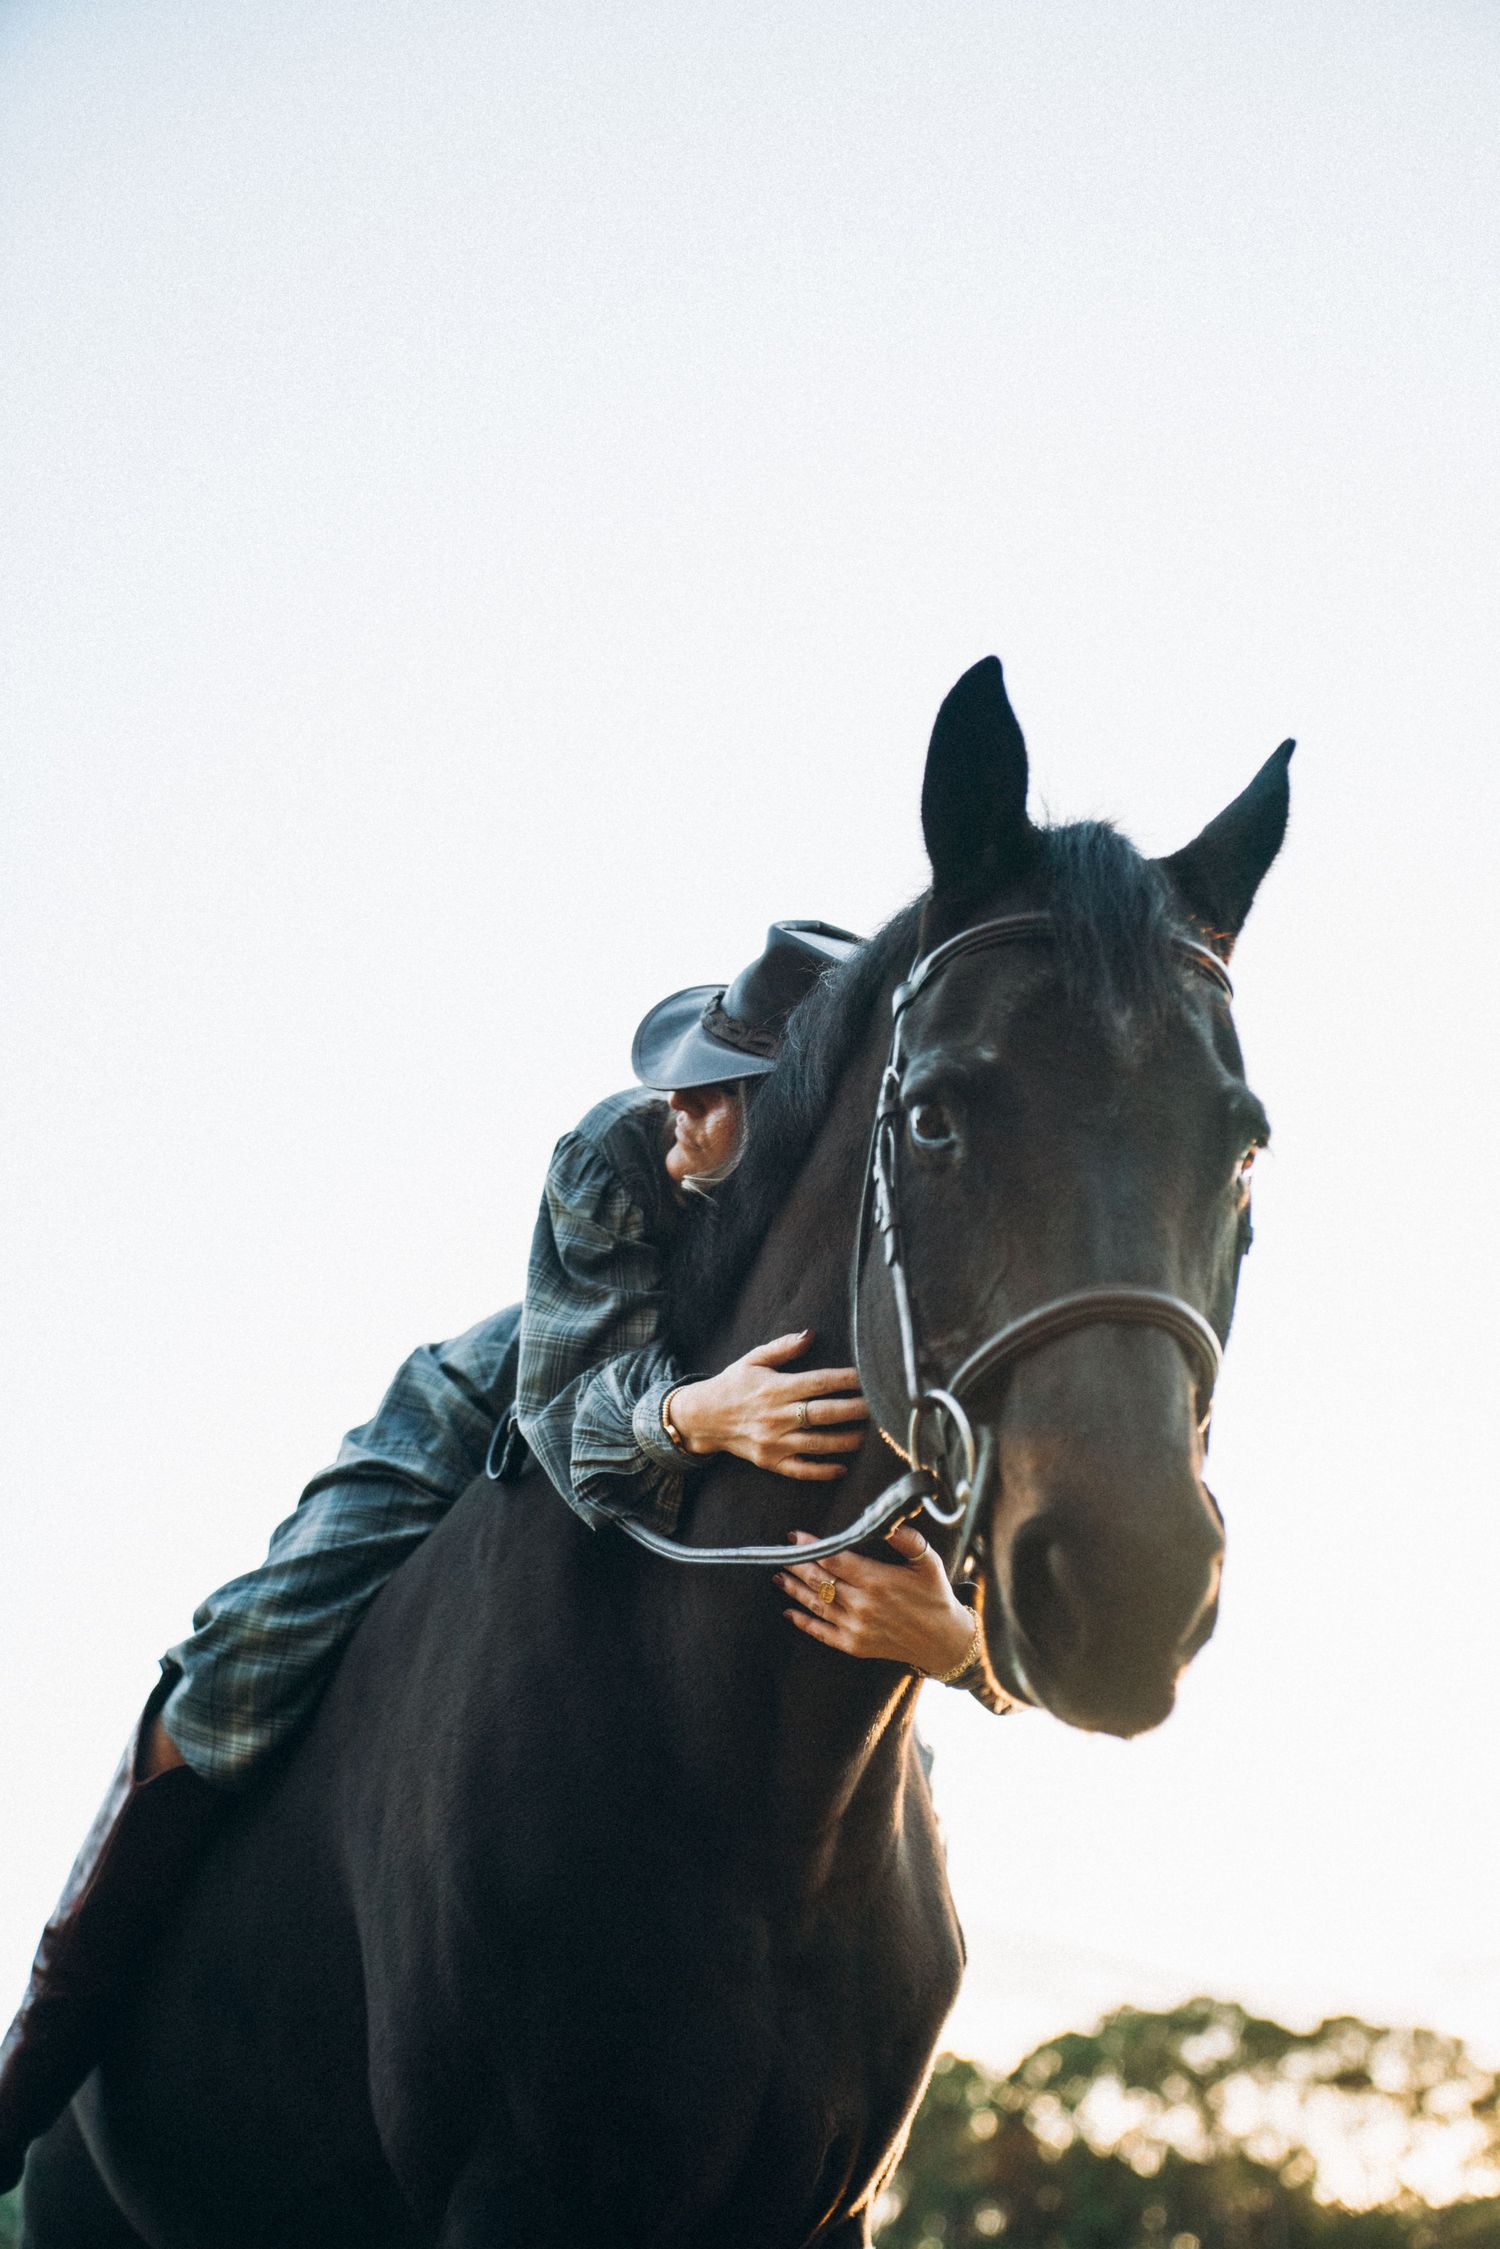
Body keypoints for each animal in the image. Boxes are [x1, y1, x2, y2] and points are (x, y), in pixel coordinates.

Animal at [21, 657, 1292, 2248]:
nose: (1126, 1582)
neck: (755, 1787)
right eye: (934, 1112)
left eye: (1242, 1144)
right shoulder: (517, 2197)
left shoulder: (826, 2211)